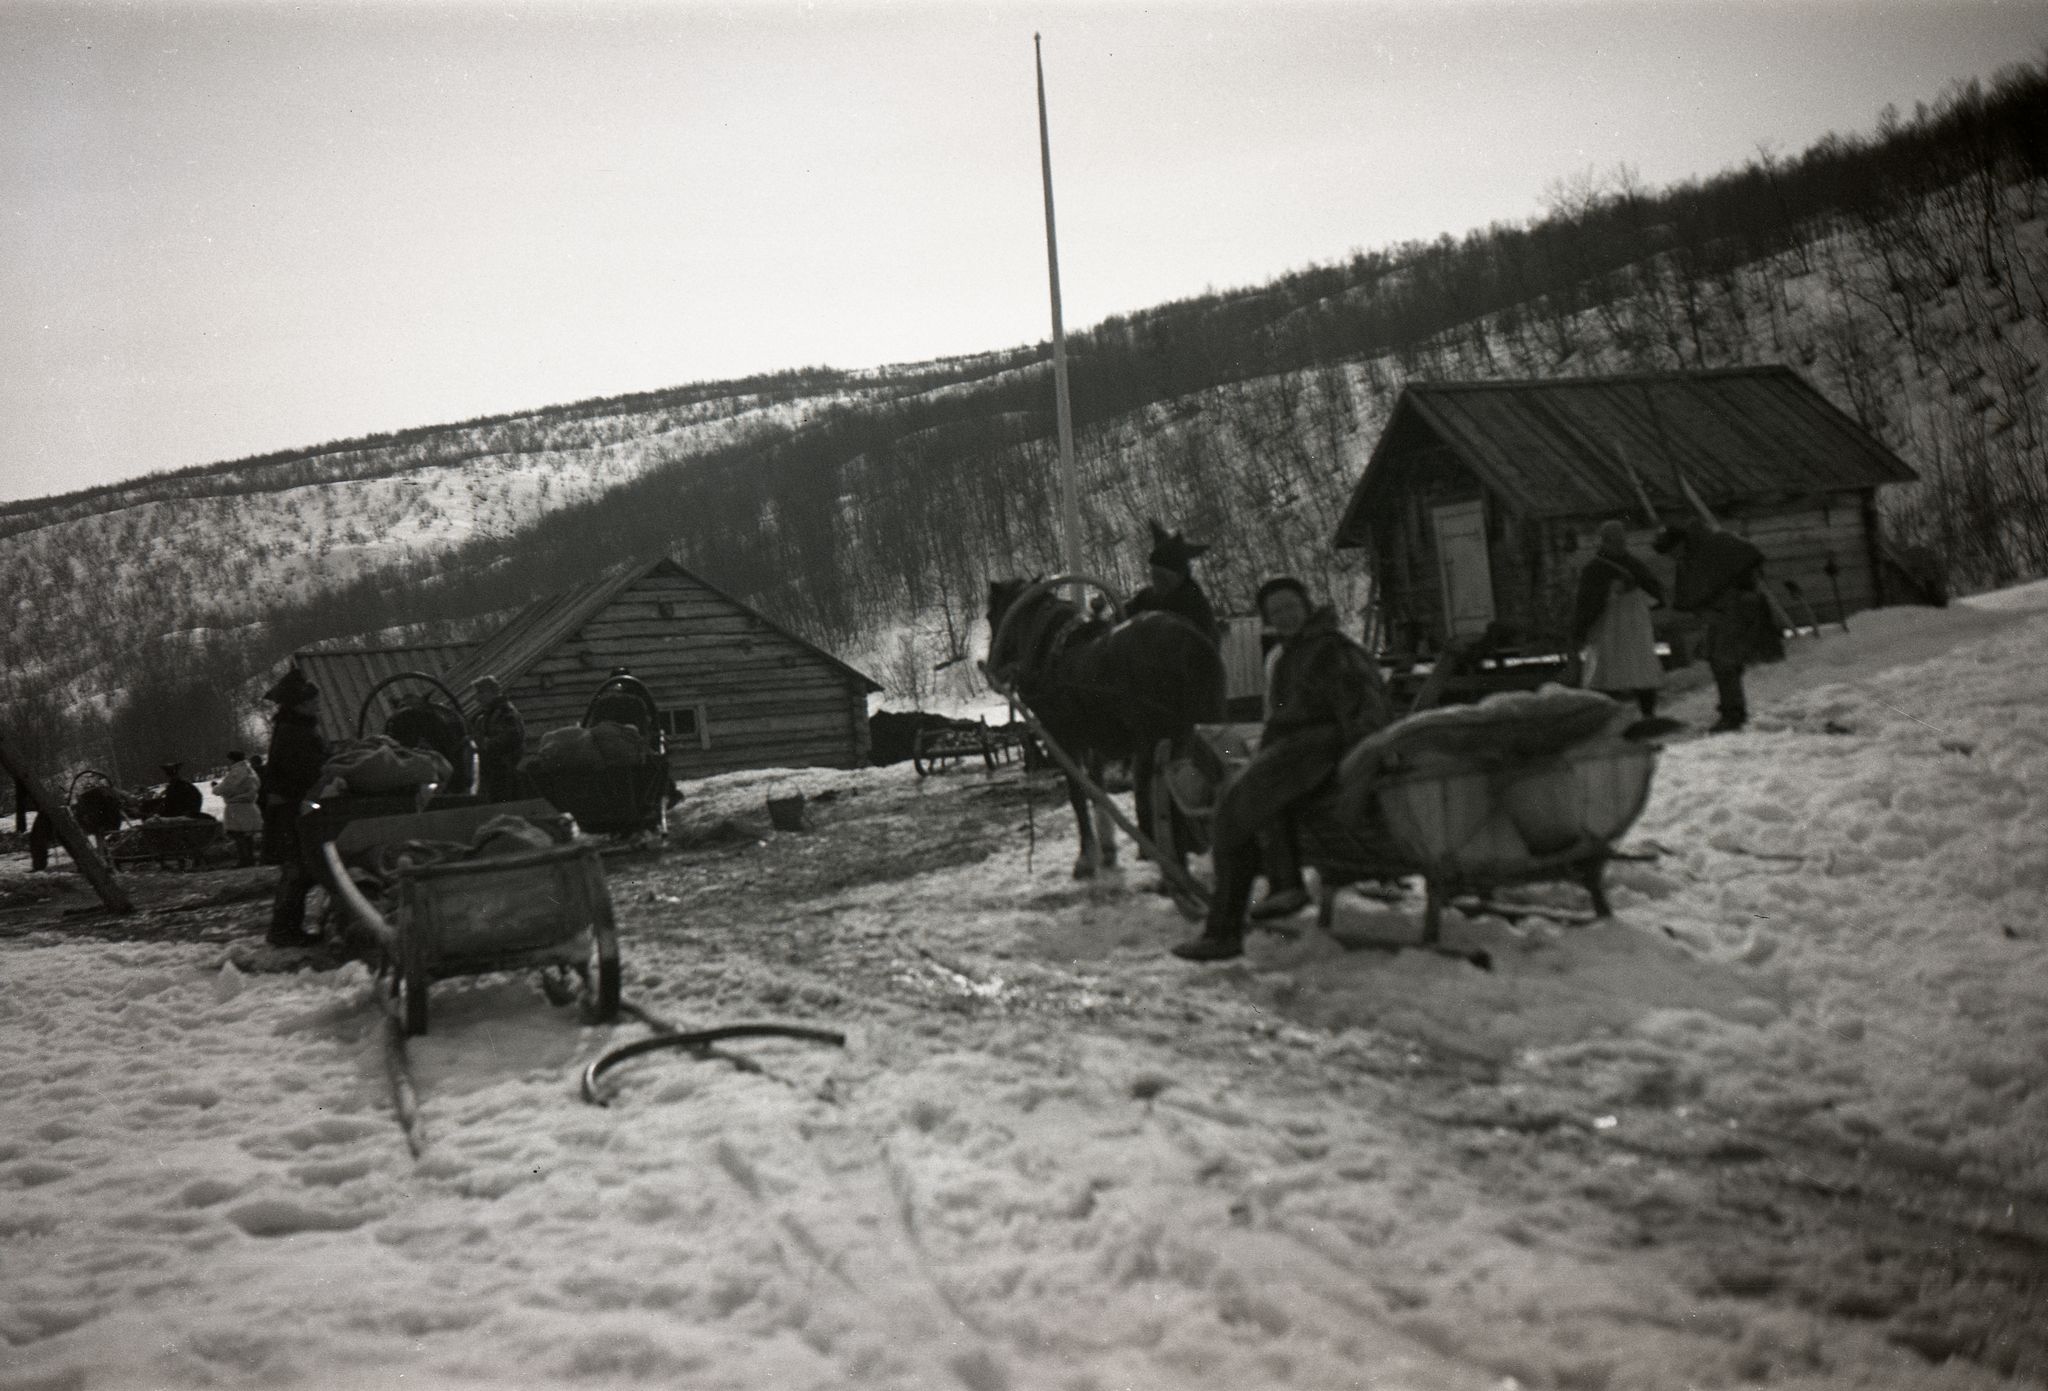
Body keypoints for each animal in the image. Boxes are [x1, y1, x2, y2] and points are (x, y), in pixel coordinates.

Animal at [987, 577, 1220, 880]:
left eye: (989, 616)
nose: (992, 670)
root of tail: (1190, 642)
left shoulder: (1063, 738)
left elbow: (1078, 794)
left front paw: (1086, 858)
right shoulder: (1092, 740)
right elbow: (1097, 789)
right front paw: (1107, 849)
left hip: (1159, 741)